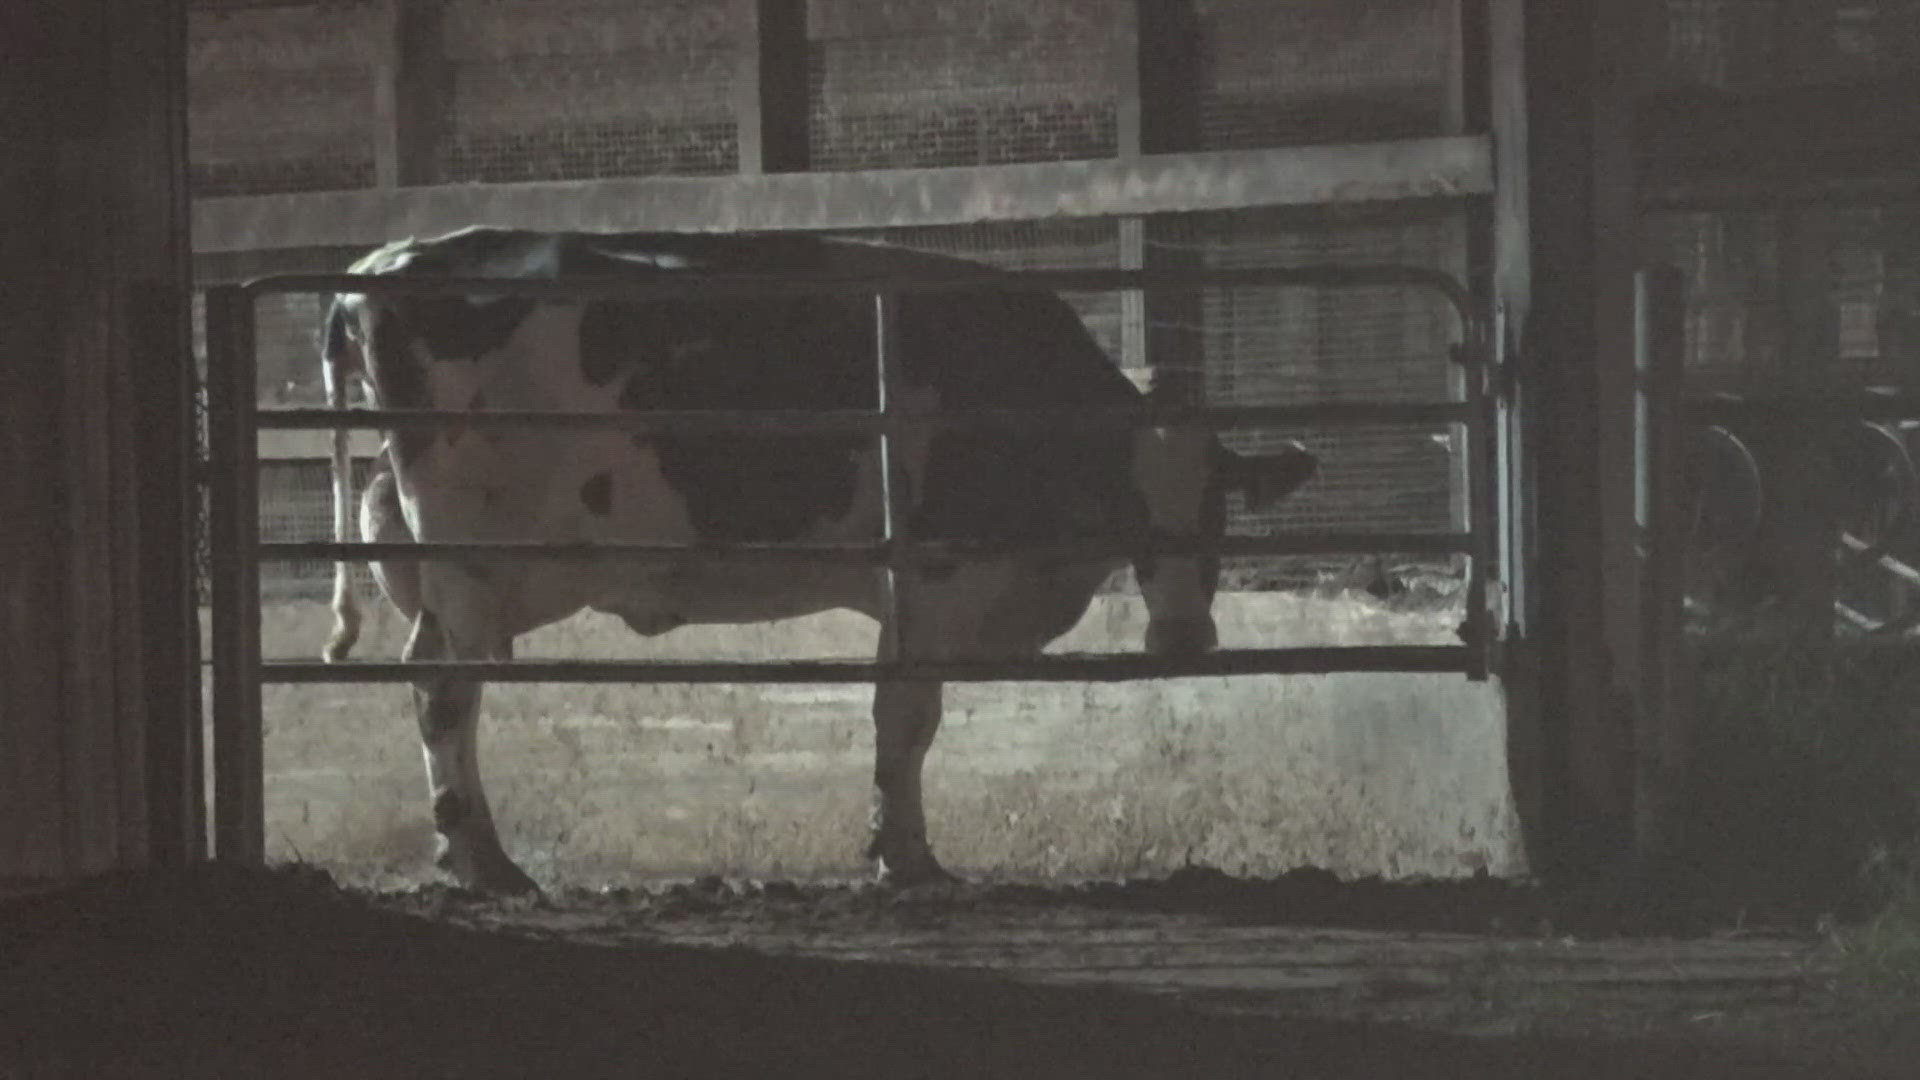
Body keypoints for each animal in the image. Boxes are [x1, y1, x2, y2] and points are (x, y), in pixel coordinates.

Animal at [318, 226, 1320, 891]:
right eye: (1132, 509)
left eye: (1218, 510)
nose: (1183, 640)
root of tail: (385, 263)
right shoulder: (935, 580)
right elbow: (908, 721)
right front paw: (907, 857)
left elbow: (893, 720)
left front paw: (890, 846)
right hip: (472, 563)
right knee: (445, 695)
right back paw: (485, 860)